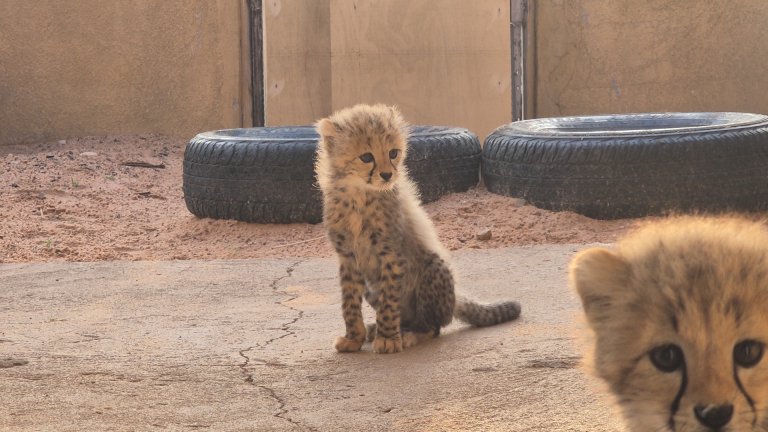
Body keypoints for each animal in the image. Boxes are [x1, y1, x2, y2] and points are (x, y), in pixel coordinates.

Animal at [315, 103, 521, 354]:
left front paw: (388, 338)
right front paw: (353, 337)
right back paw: (382, 329)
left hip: (433, 269)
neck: (359, 195)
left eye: (393, 153)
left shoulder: (392, 255)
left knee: (433, 327)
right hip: (371, 286)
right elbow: (350, 302)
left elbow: (389, 302)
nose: (387, 175)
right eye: (366, 157)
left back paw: (409, 334)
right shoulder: (348, 258)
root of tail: (454, 299)